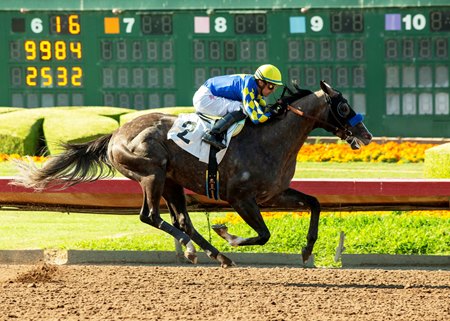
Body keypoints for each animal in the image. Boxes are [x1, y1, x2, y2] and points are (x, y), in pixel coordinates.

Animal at [14, 80, 372, 268]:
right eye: (343, 107)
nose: (366, 135)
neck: (270, 139)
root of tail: (115, 133)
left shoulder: (274, 193)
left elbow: (314, 203)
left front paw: (307, 249)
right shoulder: (241, 199)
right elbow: (263, 234)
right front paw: (228, 233)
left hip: (172, 182)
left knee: (181, 220)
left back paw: (216, 255)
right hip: (151, 174)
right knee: (151, 216)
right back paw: (193, 248)